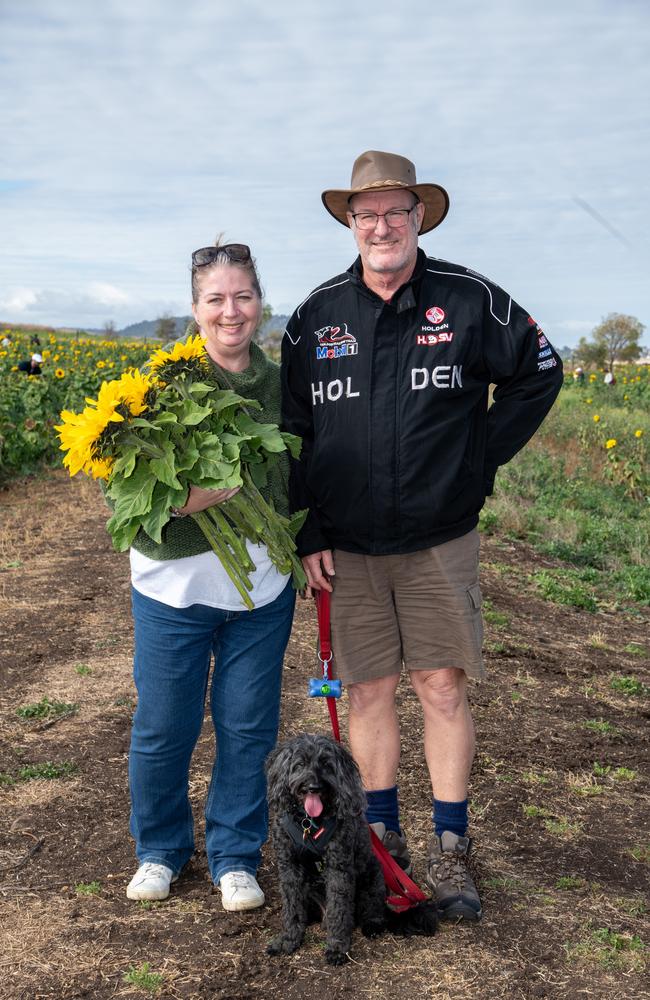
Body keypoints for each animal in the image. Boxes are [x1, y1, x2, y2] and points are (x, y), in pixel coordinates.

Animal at [264, 732, 436, 964]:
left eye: (326, 765)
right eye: (300, 764)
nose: (313, 787)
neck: (309, 822)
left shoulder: (339, 869)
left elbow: (339, 910)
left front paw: (337, 948)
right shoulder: (289, 868)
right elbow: (292, 908)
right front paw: (288, 940)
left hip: (373, 879)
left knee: (372, 911)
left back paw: (372, 925)